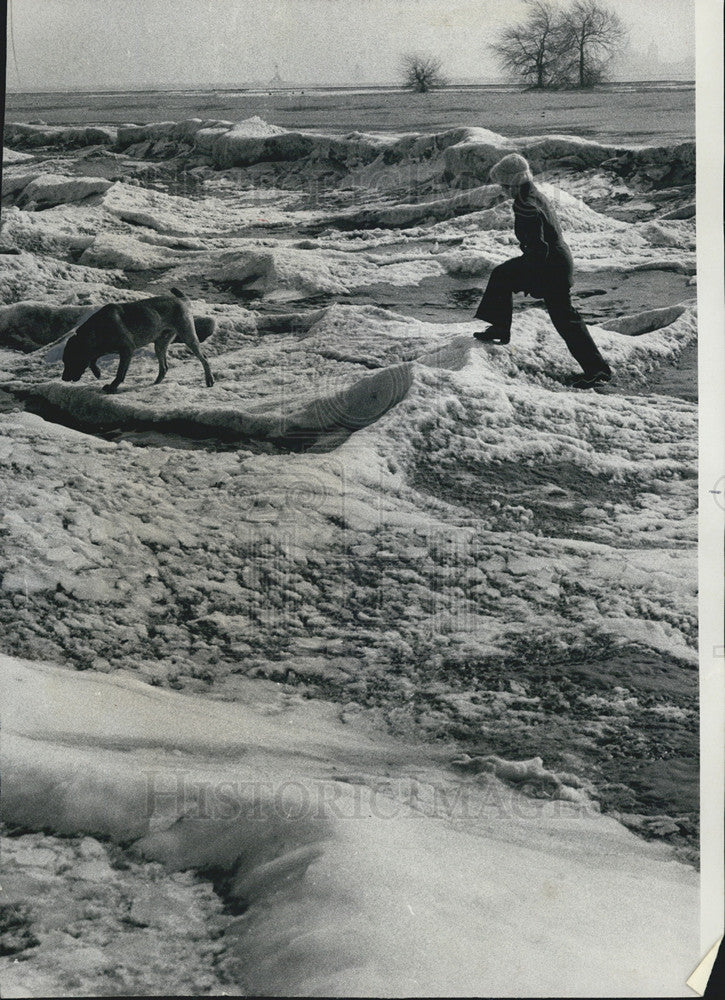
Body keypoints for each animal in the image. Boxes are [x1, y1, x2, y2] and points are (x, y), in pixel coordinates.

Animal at [62, 288, 214, 392]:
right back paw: (155, 384)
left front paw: (111, 387)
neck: (97, 329)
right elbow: (92, 360)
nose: (63, 378)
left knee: (204, 359)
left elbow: (120, 373)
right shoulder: (102, 348)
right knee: (164, 367)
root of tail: (182, 300)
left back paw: (209, 380)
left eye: (70, 361)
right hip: (160, 343)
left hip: (188, 336)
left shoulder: (127, 349)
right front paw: (97, 372)